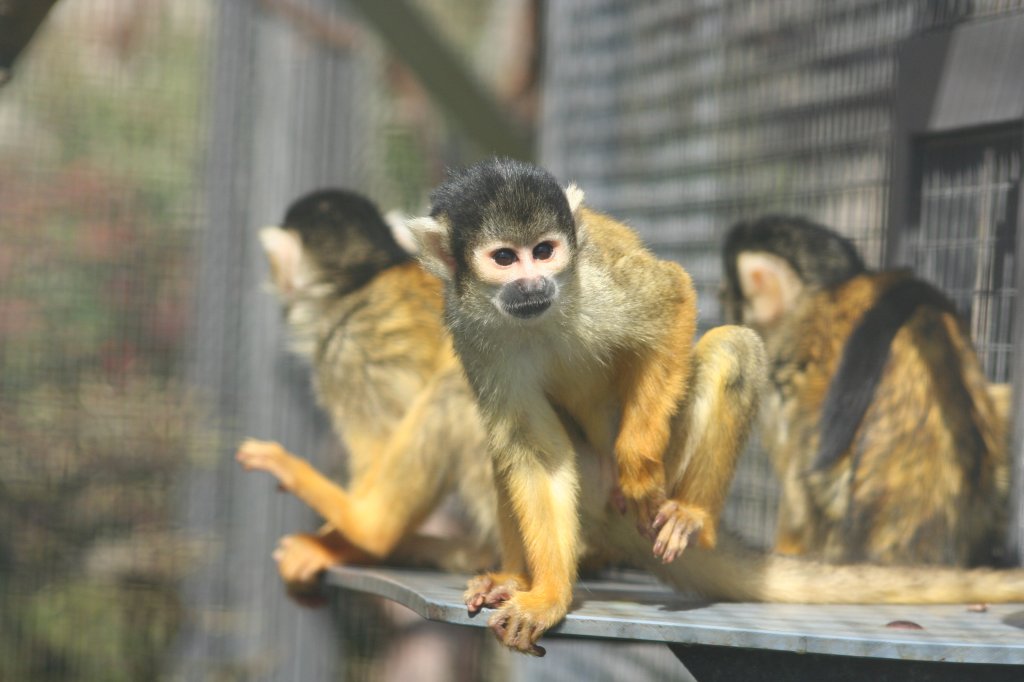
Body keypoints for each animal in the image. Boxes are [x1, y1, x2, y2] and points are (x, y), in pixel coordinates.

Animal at [236, 187, 499, 589]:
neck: (363, 277)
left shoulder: (348, 352)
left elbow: (379, 447)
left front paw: (337, 546)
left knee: (453, 390)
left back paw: (370, 527)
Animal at [407, 159, 770, 655]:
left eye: (544, 251)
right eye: (505, 258)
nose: (533, 283)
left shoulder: (596, 280)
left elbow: (673, 296)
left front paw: (636, 470)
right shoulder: (471, 331)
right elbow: (536, 453)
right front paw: (548, 594)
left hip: (671, 456)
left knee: (734, 349)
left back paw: (693, 515)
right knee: (507, 450)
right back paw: (515, 578)